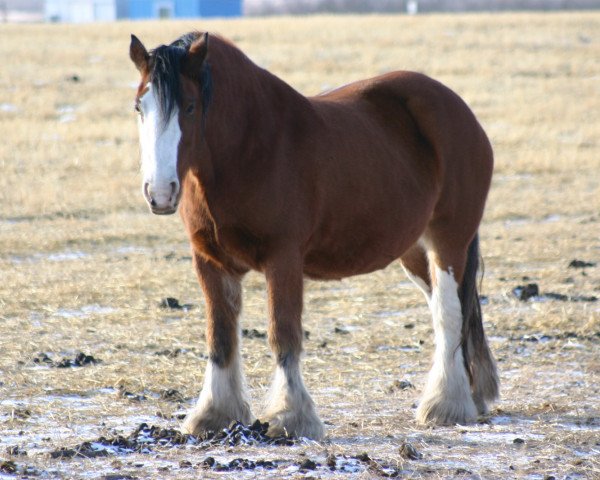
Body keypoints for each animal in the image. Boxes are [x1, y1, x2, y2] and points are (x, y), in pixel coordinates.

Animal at [129, 31, 500, 440]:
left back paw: (446, 404)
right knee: (445, 310)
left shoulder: (283, 260)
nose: (159, 192)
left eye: (191, 107)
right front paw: (214, 414)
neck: (250, 149)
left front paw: (291, 416)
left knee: (450, 313)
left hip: (448, 240)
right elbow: (220, 337)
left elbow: (283, 334)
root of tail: (460, 110)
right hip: (414, 251)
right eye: (139, 106)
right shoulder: (210, 262)